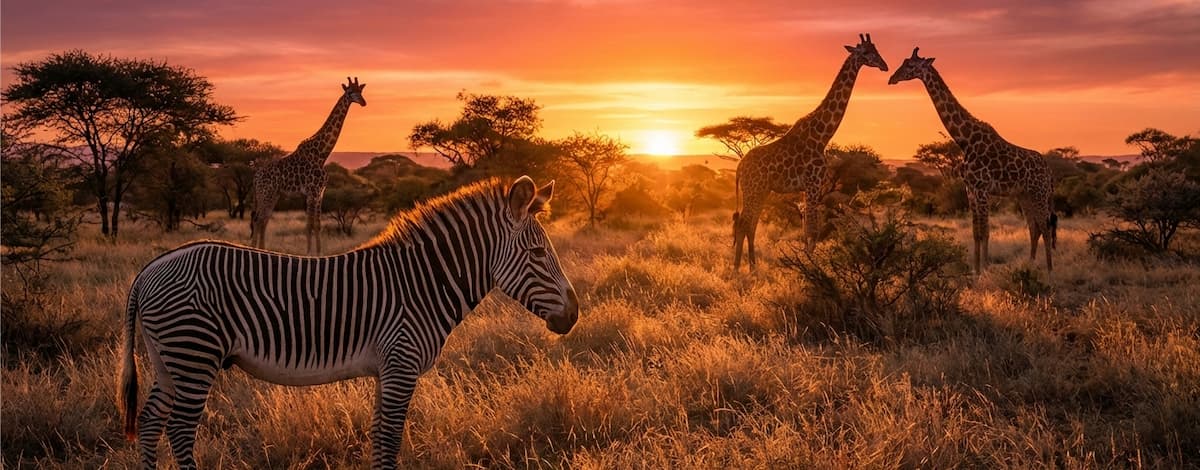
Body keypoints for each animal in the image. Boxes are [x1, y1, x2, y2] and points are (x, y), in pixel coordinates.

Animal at [117, 176, 578, 469]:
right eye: (539, 253)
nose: (574, 315)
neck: (423, 282)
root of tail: (148, 271)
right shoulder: (401, 364)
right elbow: (389, 441)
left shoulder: (386, 370)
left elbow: (377, 437)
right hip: (194, 352)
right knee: (179, 429)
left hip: (170, 359)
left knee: (151, 421)